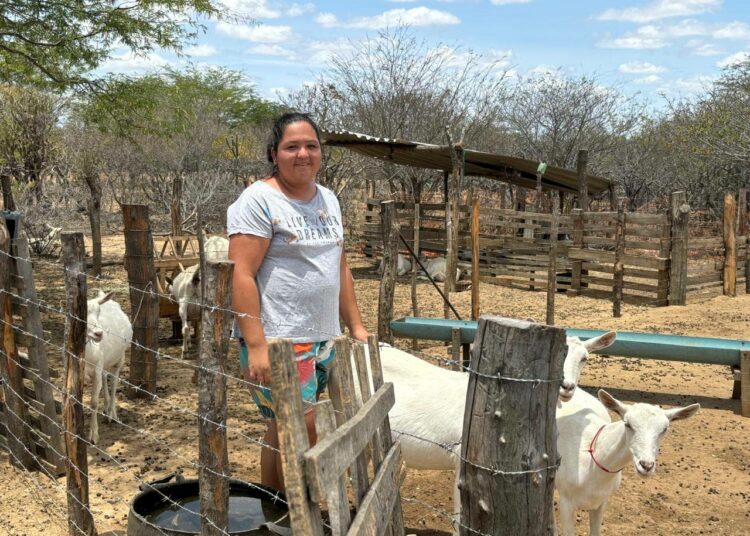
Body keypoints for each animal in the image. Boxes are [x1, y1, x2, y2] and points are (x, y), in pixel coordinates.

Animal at [85, 294, 132, 444]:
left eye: (98, 311)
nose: (99, 333)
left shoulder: (96, 369)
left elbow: (94, 403)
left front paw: (93, 436)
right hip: (105, 360)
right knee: (105, 376)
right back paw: (106, 408)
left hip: (121, 357)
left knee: (115, 380)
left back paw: (112, 414)